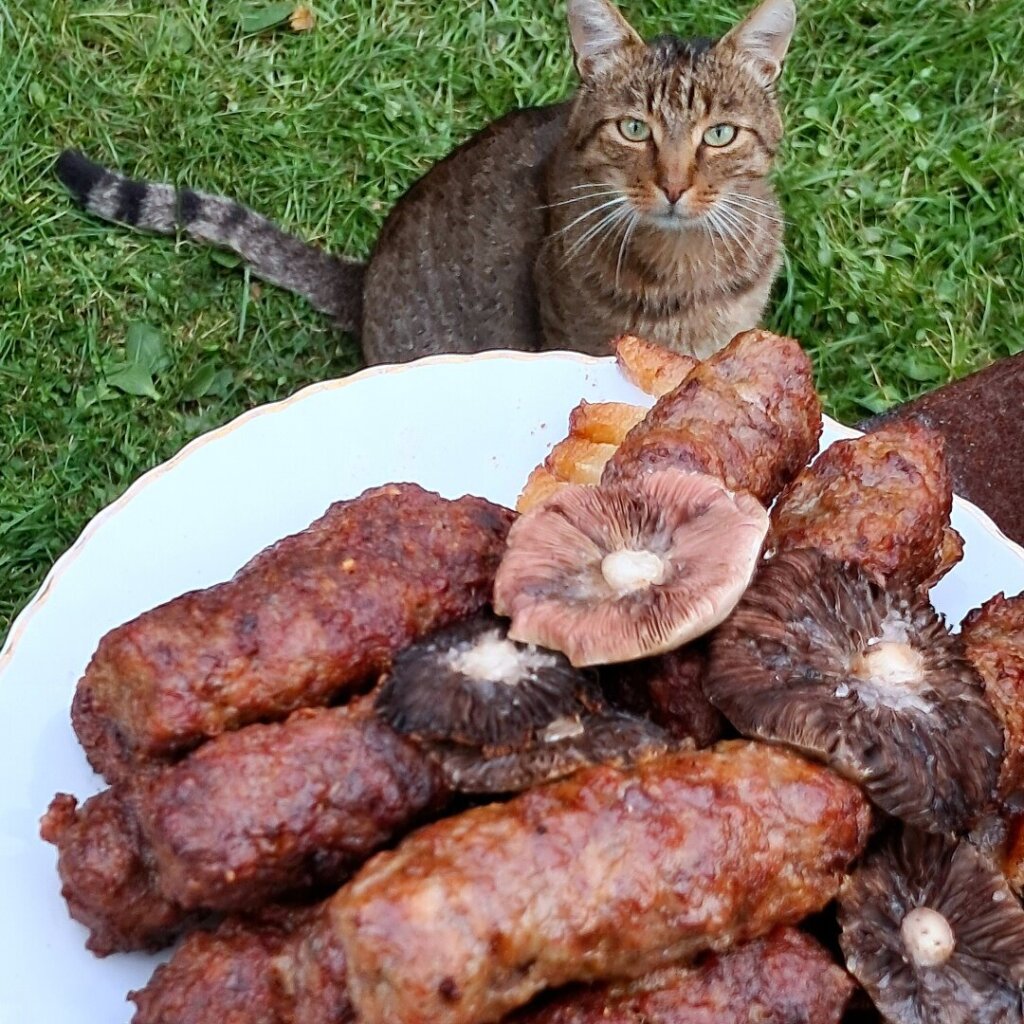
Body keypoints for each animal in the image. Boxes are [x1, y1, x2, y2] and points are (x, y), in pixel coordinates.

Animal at [54, 0, 790, 366]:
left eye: (719, 135)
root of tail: (364, 281)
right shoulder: (572, 344)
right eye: (634, 130)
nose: (673, 185)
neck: (690, 268)